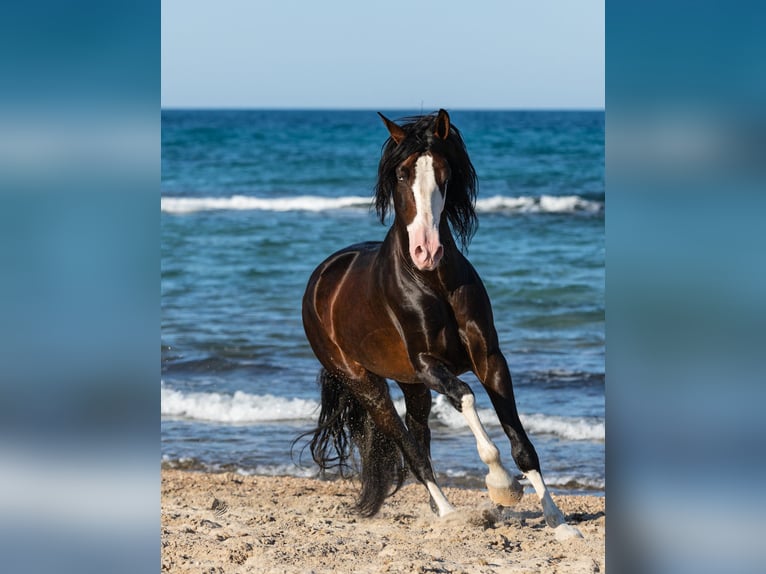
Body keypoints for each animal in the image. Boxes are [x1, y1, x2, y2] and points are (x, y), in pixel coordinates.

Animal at [300, 110, 584, 536]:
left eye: (444, 173)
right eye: (401, 174)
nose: (427, 250)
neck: (432, 282)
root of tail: (321, 277)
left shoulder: (489, 359)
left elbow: (521, 442)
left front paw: (559, 521)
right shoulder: (428, 364)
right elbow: (465, 396)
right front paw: (502, 485)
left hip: (410, 385)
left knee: (419, 433)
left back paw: (442, 512)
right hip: (366, 384)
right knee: (410, 447)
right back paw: (450, 513)